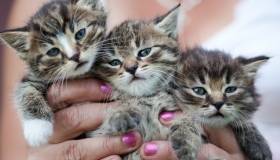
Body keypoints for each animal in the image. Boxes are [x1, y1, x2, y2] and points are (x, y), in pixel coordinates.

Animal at [0, 0, 106, 147]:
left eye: (80, 34)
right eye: (53, 52)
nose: (75, 56)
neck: (80, 76)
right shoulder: (34, 77)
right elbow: (24, 90)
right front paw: (37, 127)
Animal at [91, 4, 202, 159]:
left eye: (144, 52)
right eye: (114, 62)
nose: (131, 68)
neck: (151, 96)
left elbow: (193, 118)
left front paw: (185, 139)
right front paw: (122, 113)